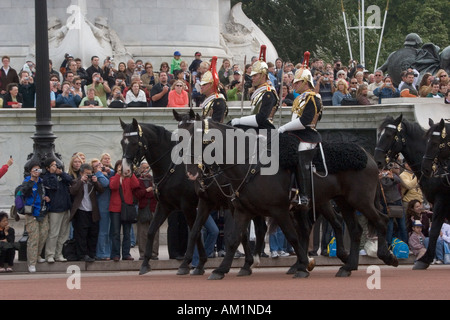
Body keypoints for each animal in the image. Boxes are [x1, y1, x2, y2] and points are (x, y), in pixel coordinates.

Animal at [178, 116, 396, 278]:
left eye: (199, 140)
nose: (191, 172)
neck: (250, 165)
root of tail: (368, 155)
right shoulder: (241, 210)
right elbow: (232, 238)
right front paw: (221, 269)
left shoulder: (278, 210)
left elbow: (291, 236)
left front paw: (303, 266)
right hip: (343, 201)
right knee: (353, 228)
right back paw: (348, 266)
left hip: (360, 200)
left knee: (381, 220)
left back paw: (386, 256)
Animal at [374, 115, 448, 270]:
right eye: (379, 134)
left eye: (389, 135)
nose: (377, 161)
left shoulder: (441, 199)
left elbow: (434, 229)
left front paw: (424, 259)